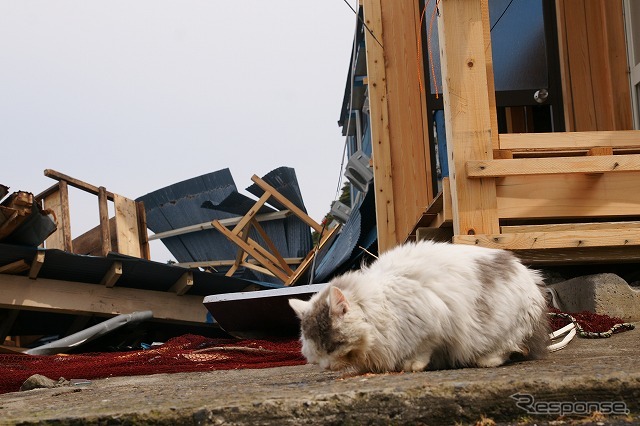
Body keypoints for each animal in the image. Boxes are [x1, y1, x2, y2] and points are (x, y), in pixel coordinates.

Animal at [288, 240, 548, 372]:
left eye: (333, 346)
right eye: (316, 352)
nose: (327, 367)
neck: (378, 306)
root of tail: (531, 279)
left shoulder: (431, 328)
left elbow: (422, 351)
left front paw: (412, 366)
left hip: (509, 327)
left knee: (508, 347)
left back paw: (486, 360)